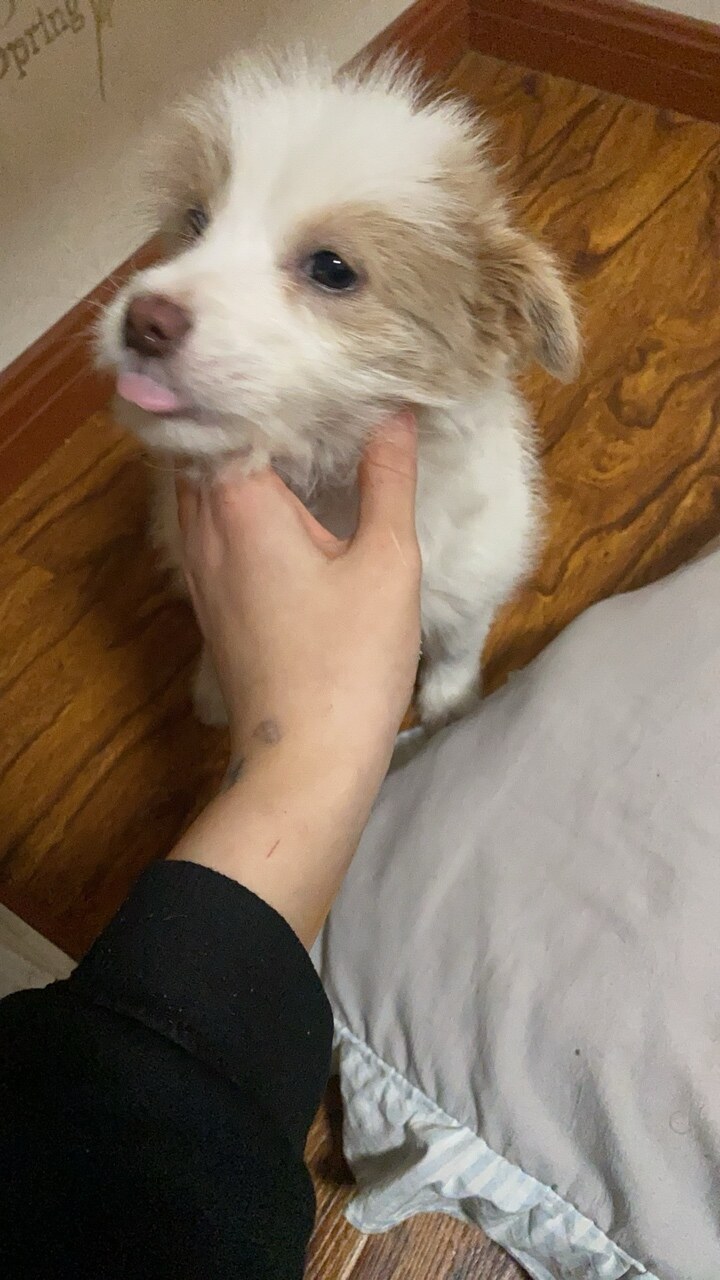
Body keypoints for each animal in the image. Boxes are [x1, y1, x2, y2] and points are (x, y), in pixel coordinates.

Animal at [98, 54, 579, 731]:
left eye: (332, 269)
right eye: (194, 222)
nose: (144, 321)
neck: (324, 486)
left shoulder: (475, 567)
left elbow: (458, 638)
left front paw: (449, 702)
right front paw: (218, 688)